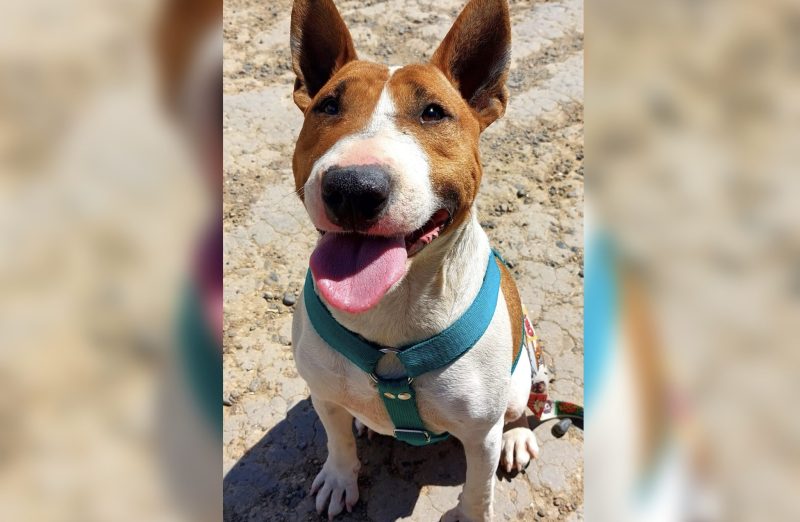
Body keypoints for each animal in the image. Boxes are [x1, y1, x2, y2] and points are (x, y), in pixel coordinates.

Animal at [289, 0, 538, 520]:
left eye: (433, 112)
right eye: (328, 106)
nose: (353, 189)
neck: (392, 308)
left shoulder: (479, 435)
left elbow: (478, 486)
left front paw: (471, 513)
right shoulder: (323, 394)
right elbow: (337, 441)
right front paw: (340, 478)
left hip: (521, 378)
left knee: (521, 408)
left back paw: (519, 435)